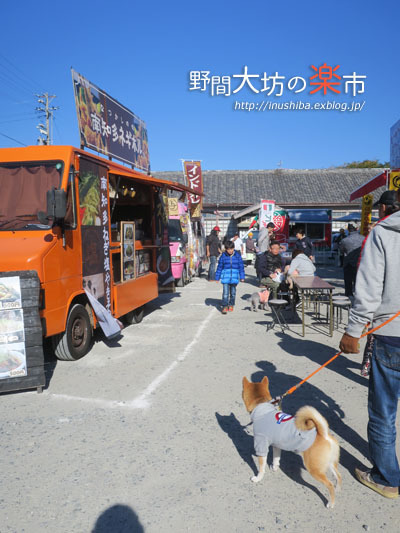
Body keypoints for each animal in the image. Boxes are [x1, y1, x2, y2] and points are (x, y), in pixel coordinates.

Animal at [241, 374, 340, 508]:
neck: (262, 407)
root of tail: (323, 434)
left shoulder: (261, 447)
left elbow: (261, 468)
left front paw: (258, 478)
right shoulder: (276, 445)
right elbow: (276, 458)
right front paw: (274, 467)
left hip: (314, 468)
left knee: (329, 485)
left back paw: (331, 503)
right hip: (329, 463)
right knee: (338, 476)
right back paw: (338, 488)